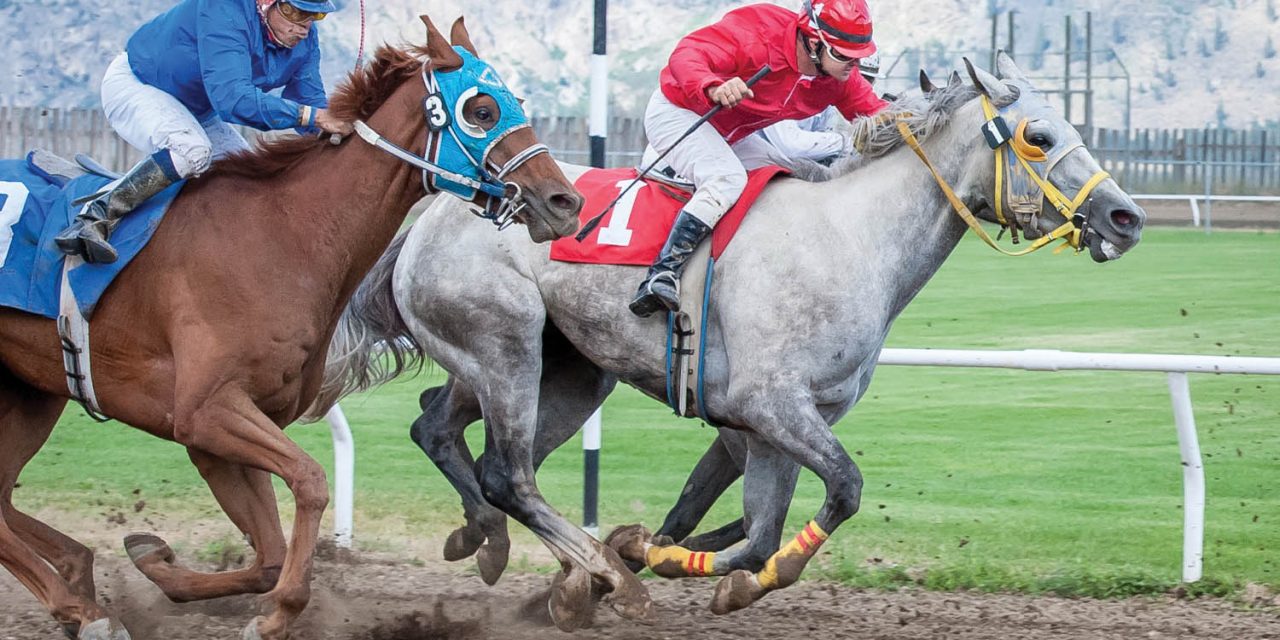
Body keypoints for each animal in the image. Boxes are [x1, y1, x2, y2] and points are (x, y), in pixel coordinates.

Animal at [0, 16, 581, 640]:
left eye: (515, 102)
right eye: (481, 110)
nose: (565, 201)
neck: (280, 238)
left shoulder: (226, 431)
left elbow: (268, 556)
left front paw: (156, 560)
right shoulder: (206, 412)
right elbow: (310, 481)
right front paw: (278, 612)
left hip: (30, 394)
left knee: (1, 500)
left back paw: (77, 574)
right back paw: (80, 607)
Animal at [317, 53, 1146, 629]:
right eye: (1040, 135)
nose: (1126, 217)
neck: (849, 238)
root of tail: (436, 211)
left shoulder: (771, 425)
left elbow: (752, 526)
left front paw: (661, 555)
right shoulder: (769, 404)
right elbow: (835, 494)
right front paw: (657, 562)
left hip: (565, 370)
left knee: (445, 430)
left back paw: (501, 547)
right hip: (506, 345)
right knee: (505, 472)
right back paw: (587, 574)